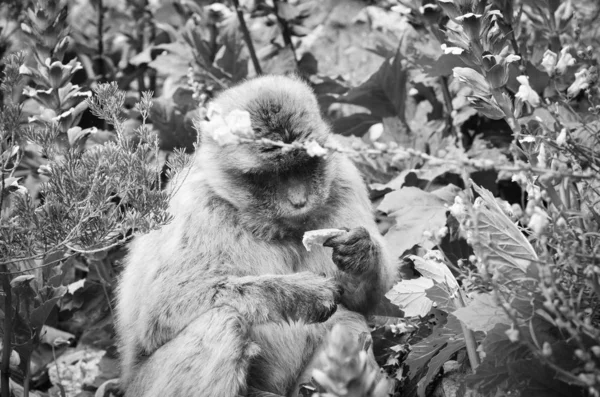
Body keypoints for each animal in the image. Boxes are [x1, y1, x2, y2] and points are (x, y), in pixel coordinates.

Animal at [116, 75, 398, 396]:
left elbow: (361, 303)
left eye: (304, 164)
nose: (299, 201)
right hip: (146, 385)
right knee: (221, 322)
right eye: (271, 175)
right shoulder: (195, 207)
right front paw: (297, 294)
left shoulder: (343, 176)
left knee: (348, 322)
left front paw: (361, 252)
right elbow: (158, 313)